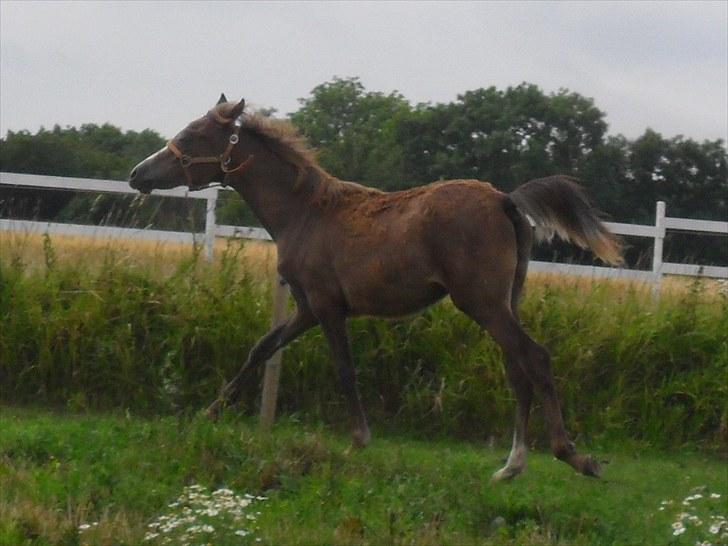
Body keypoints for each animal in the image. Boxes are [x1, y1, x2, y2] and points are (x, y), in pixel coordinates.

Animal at [129, 95, 620, 478]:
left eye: (193, 135)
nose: (138, 174)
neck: (303, 212)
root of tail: (506, 199)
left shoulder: (327, 307)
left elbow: (345, 369)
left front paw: (358, 440)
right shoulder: (307, 308)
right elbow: (262, 347)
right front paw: (209, 412)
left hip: (481, 301)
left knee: (534, 358)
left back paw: (573, 456)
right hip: (505, 300)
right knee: (517, 367)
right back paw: (511, 465)